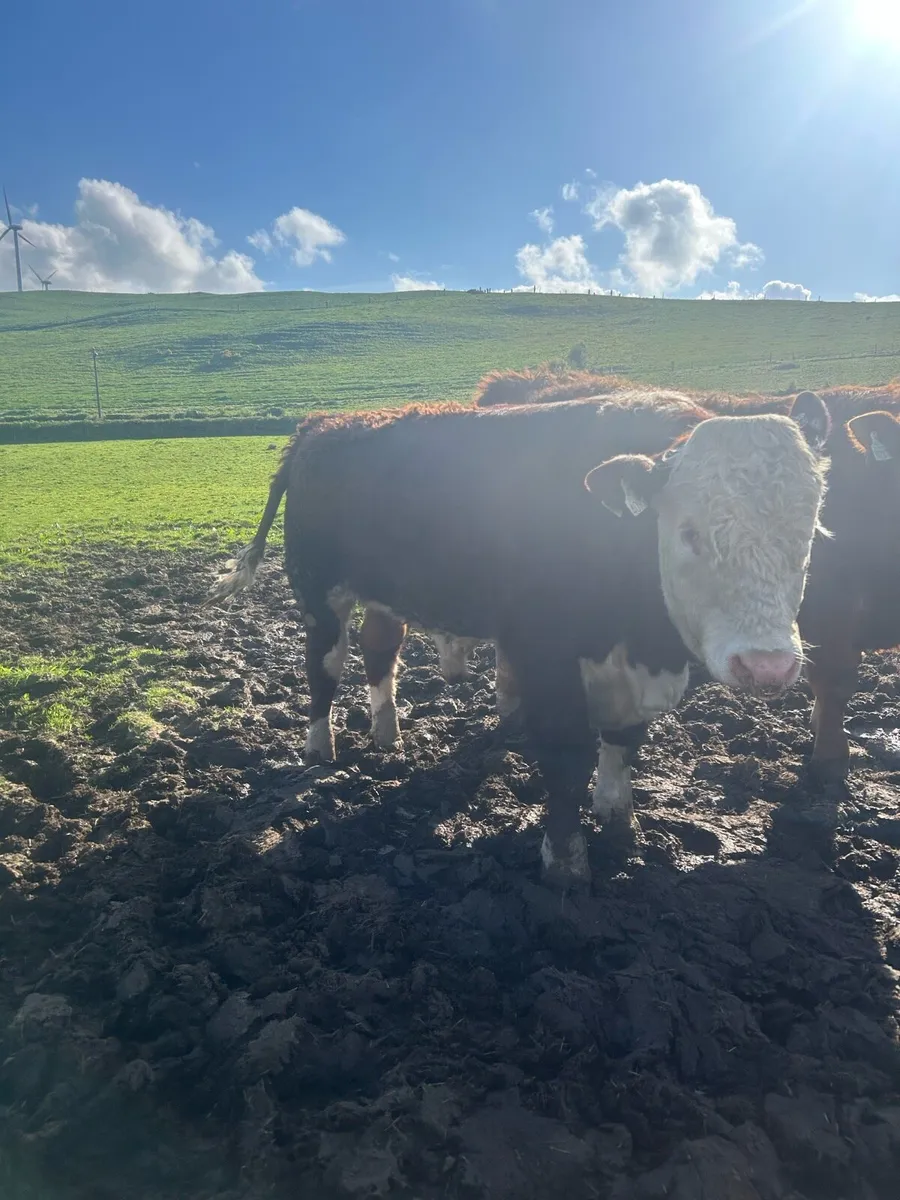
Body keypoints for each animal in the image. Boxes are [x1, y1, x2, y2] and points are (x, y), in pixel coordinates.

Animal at [207, 391, 830, 887]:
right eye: (688, 532)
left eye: (807, 533)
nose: (767, 665)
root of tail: (321, 425)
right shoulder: (545, 657)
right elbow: (565, 757)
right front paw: (565, 862)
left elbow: (623, 744)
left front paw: (619, 819)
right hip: (320, 588)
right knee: (323, 665)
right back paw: (320, 748)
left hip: (384, 593)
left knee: (379, 649)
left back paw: (388, 735)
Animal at [465, 368, 900, 780]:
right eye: (688, 533)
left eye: (810, 528)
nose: (764, 666)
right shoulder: (833, 616)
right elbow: (835, 681)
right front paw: (830, 760)